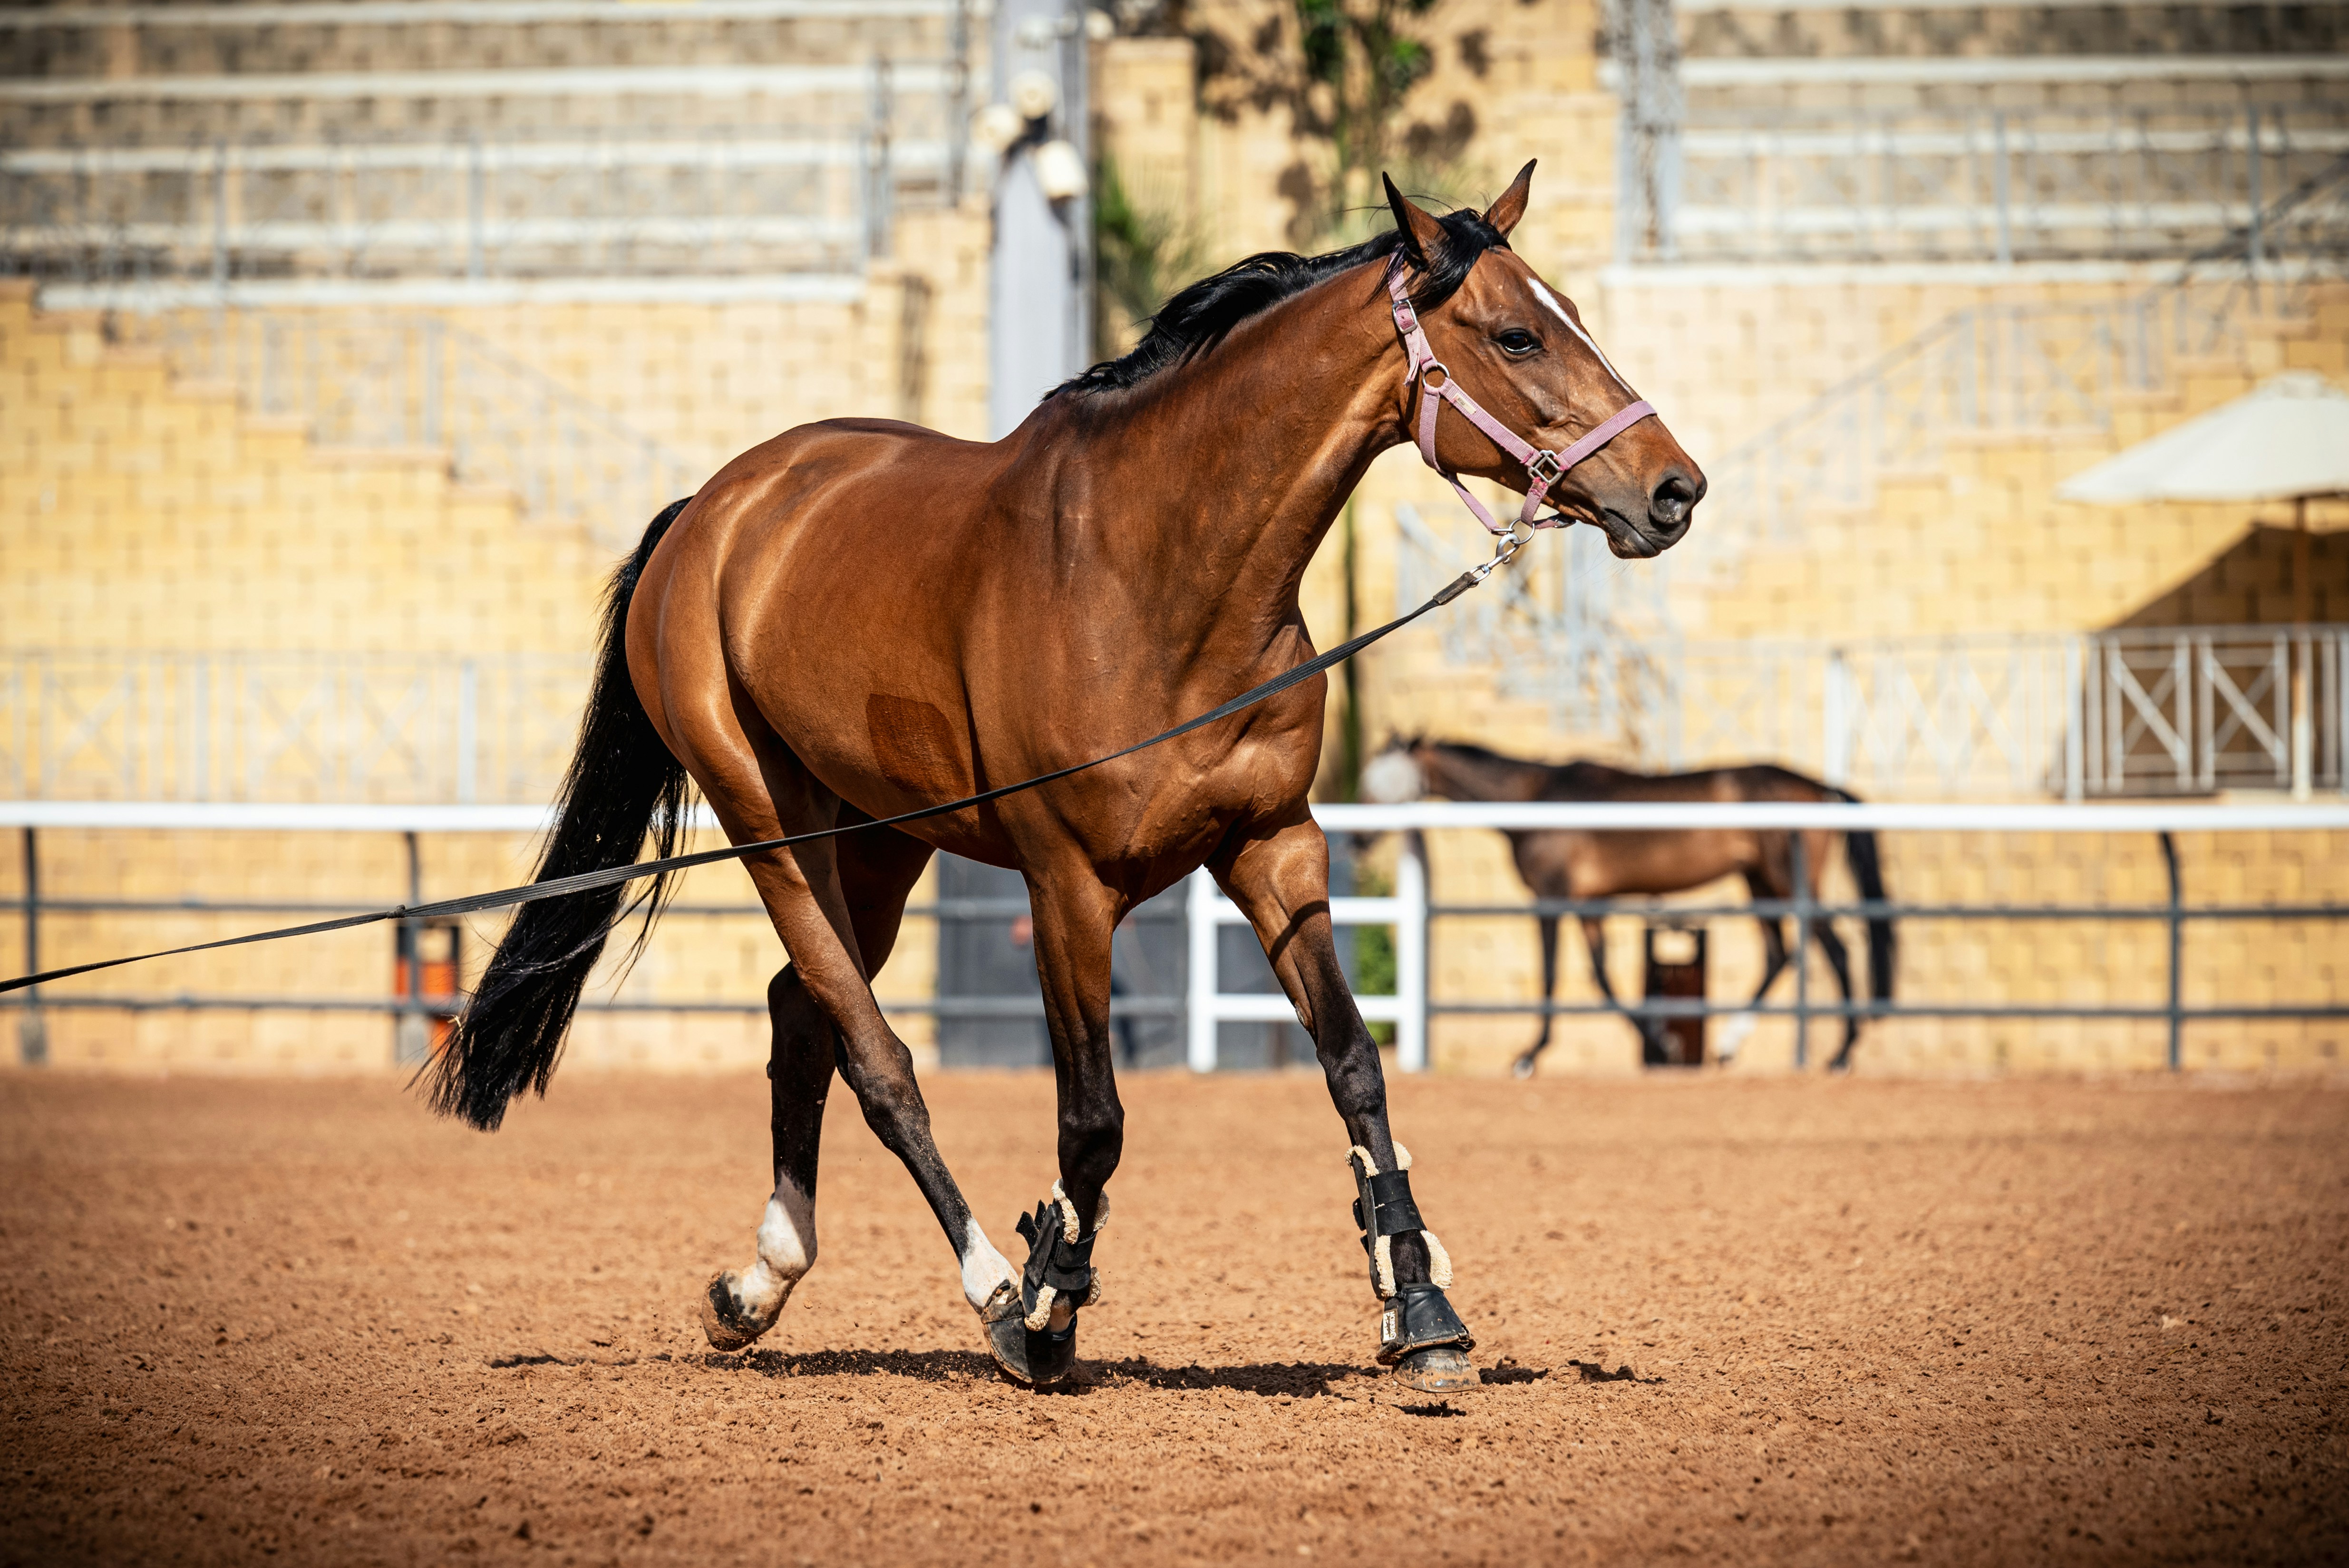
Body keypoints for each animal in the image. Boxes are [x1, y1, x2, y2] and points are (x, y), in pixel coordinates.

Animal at [425, 165, 1702, 1394]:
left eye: (1570, 312)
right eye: (1516, 335)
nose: (1673, 490)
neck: (1154, 576)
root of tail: (715, 509)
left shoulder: (1275, 846)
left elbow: (1354, 1067)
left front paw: (1421, 1309)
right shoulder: (1067, 888)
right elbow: (1091, 1120)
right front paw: (1046, 1308)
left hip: (882, 839)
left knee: (802, 1013)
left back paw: (760, 1285)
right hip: (768, 824)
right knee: (873, 1054)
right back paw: (987, 1283)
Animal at [1361, 739, 1894, 1075]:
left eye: (1379, 780)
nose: (1356, 839)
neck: (1533, 800)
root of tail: (1821, 788)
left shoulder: (1551, 898)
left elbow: (1553, 976)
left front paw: (1528, 1057)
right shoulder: (1592, 905)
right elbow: (1601, 976)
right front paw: (1662, 1043)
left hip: (1789, 884)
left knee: (1835, 951)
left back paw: (1841, 1054)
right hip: (1758, 882)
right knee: (1779, 954)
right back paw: (1727, 1046)